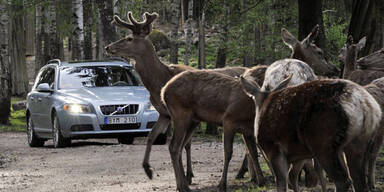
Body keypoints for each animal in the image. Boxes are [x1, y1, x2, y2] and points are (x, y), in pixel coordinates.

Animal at [105, 12, 262, 184]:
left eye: (129, 38)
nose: (108, 47)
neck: (159, 82)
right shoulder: (165, 114)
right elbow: (152, 136)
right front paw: (152, 170)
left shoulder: (187, 116)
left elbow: (184, 145)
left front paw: (187, 176)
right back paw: (247, 173)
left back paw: (248, 173)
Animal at [242, 76, 382, 192]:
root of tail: (367, 107)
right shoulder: (300, 154)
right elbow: (292, 178)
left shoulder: (273, 150)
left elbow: (282, 183)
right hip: (358, 144)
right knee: (359, 183)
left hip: (325, 145)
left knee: (343, 181)